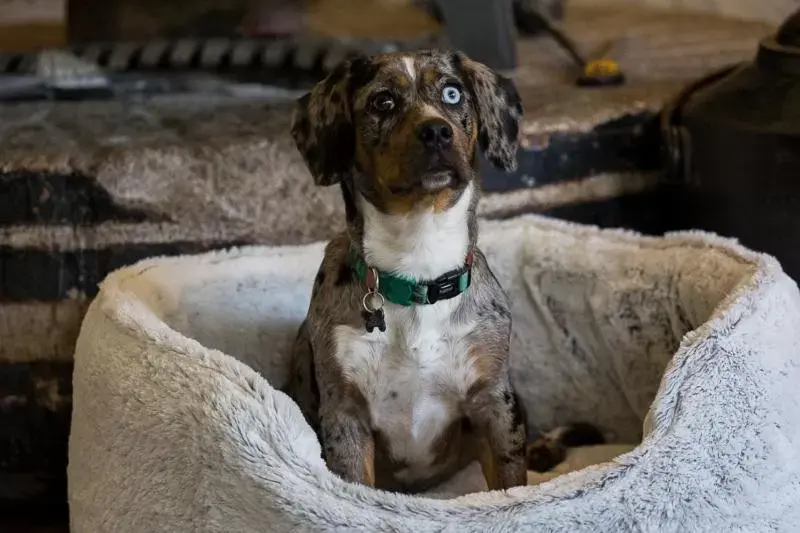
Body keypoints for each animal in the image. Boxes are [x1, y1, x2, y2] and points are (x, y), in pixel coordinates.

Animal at [288, 48, 588, 490]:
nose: (435, 132)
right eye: (383, 101)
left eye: (452, 93)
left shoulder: (495, 404)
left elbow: (509, 484)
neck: (419, 269)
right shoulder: (345, 413)